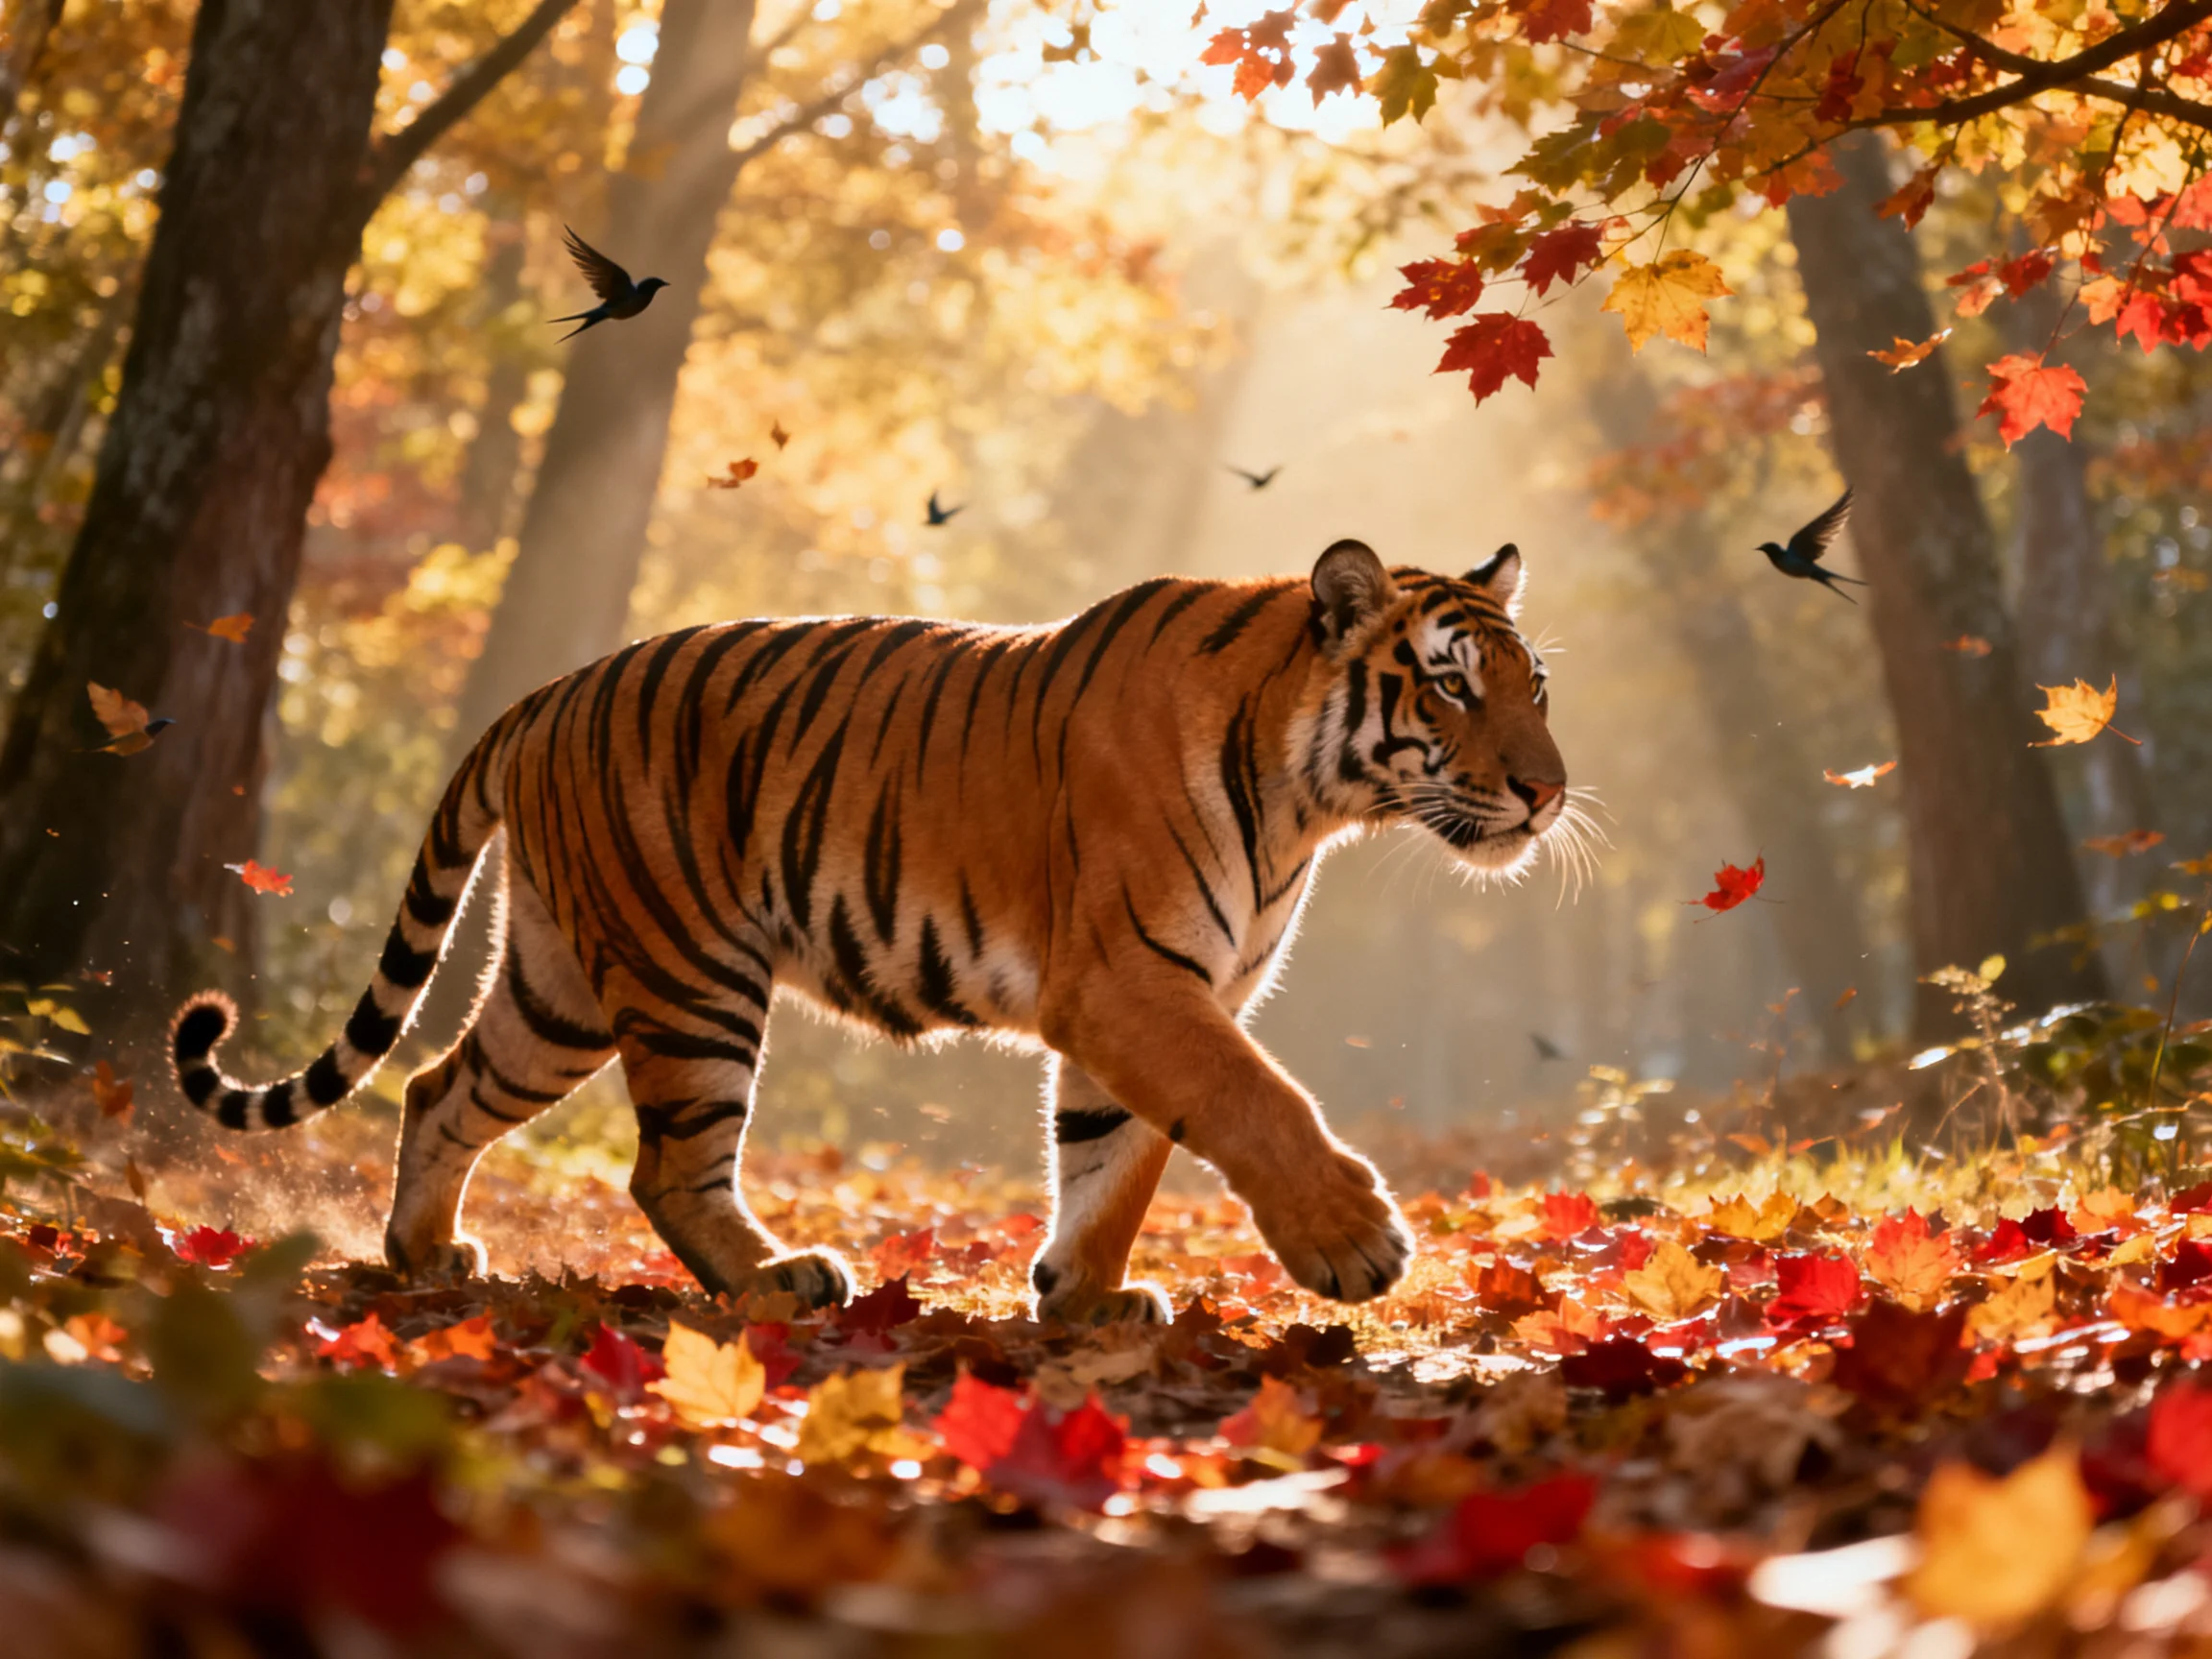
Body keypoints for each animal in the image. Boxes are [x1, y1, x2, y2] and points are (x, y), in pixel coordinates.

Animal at [169, 538, 1570, 1323]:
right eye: (1450, 685)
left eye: (1535, 685)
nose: (1548, 792)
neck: (1308, 804)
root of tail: (545, 694)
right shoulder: (1130, 981)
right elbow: (1250, 1101)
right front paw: (1354, 1244)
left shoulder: (1170, 993)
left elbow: (1114, 1160)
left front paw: (1086, 1298)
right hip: (691, 975)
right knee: (665, 1167)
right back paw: (778, 1280)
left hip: (557, 983)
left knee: (439, 1085)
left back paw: (424, 1254)